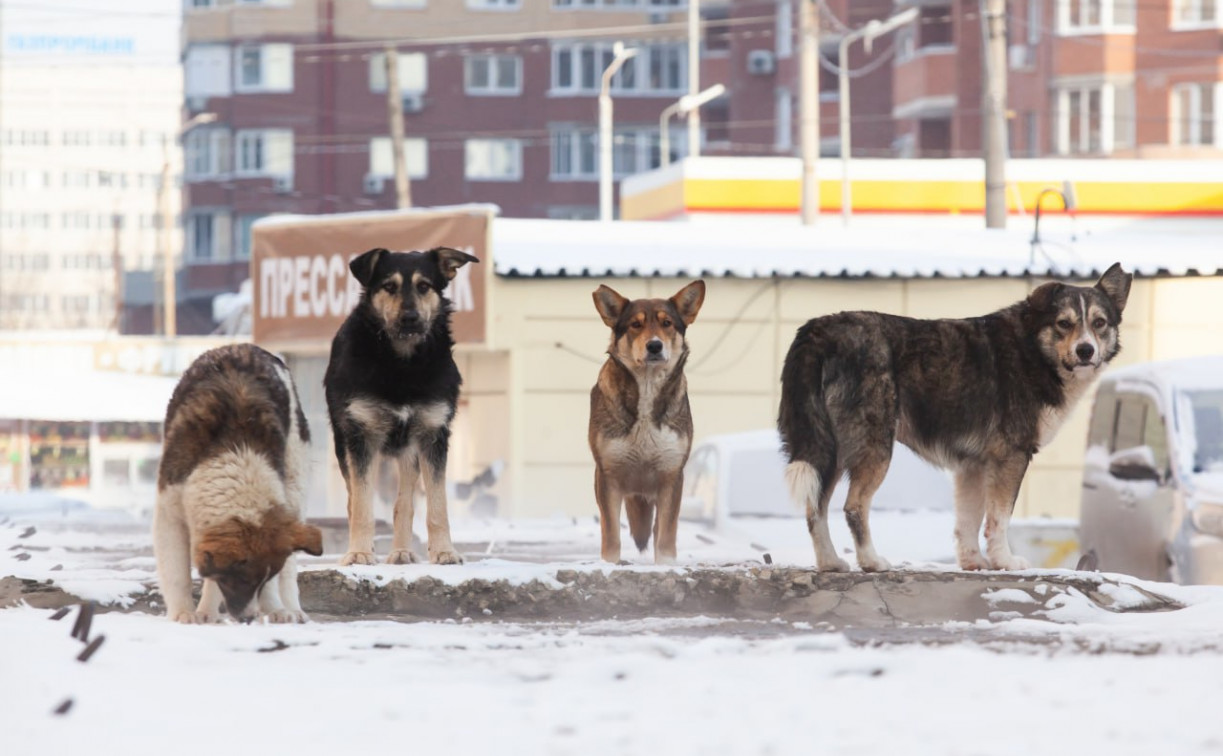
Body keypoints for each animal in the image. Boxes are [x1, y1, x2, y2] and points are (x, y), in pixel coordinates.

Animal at [152, 344, 322, 621]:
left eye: (259, 580)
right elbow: (177, 572)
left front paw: (272, 607)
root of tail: (246, 347)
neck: (237, 454)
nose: (249, 617)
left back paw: (288, 608)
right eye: (241, 579)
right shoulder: (170, 508)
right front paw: (185, 613)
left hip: (295, 481)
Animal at [325, 247, 476, 565]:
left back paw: (402, 551)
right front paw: (358, 552)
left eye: (424, 286)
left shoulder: (433, 435)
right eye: (389, 286)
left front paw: (444, 551)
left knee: (404, 502)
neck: (403, 363)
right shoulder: (361, 437)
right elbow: (362, 504)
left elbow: (437, 504)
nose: (410, 318)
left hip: (410, 452)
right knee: (353, 500)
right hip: (343, 443)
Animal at [589, 280, 709, 562]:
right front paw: (610, 564)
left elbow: (665, 534)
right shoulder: (607, 475)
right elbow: (611, 533)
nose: (655, 346)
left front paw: (666, 565)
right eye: (636, 324)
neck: (647, 385)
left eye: (667, 323)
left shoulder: (672, 475)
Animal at [777, 261, 1130, 567]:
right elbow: (999, 518)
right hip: (873, 447)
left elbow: (968, 521)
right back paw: (871, 562)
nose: (1086, 350)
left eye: (1099, 323)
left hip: (829, 449)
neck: (1033, 350)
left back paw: (830, 563)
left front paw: (974, 563)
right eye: (1064, 323)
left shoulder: (972, 465)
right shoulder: (1011, 457)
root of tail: (819, 330)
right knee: (853, 507)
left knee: (815, 509)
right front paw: (1004, 562)